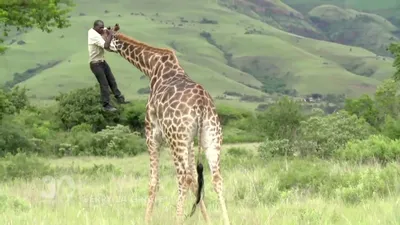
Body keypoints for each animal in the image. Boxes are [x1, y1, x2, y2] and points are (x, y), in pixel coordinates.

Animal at [105, 23, 231, 224]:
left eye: (102, 32)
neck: (151, 67)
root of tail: (202, 104)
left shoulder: (151, 133)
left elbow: (153, 182)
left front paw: (146, 219)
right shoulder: (190, 141)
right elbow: (195, 180)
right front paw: (207, 220)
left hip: (176, 139)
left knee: (182, 178)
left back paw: (177, 219)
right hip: (210, 136)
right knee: (216, 178)